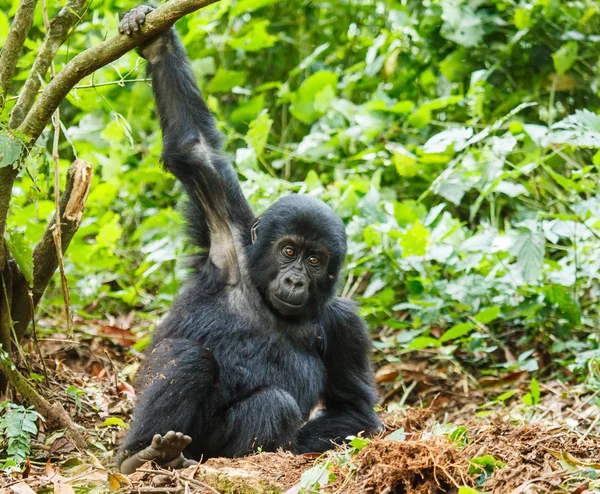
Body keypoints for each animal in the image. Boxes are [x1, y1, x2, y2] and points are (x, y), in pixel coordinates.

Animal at [117, 4, 380, 474]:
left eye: (315, 260)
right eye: (288, 250)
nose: (294, 279)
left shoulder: (347, 324)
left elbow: (356, 411)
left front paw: (297, 444)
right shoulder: (228, 237)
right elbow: (195, 149)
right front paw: (156, 39)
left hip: (211, 450)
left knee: (273, 403)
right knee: (189, 358)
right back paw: (142, 455)